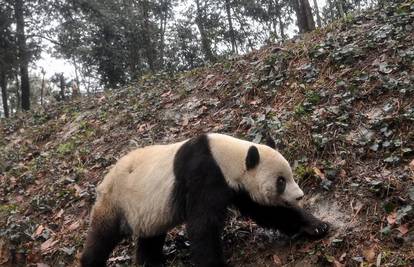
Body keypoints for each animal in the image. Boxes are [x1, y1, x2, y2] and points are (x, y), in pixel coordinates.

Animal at [79, 134, 328, 267]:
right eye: (281, 181)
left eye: (290, 176)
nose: (299, 196)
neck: (227, 156)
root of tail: (102, 182)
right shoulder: (204, 174)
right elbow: (203, 224)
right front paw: (214, 263)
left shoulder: (237, 188)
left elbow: (267, 212)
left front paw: (317, 226)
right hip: (116, 200)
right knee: (102, 236)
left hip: (147, 209)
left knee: (150, 236)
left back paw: (150, 262)